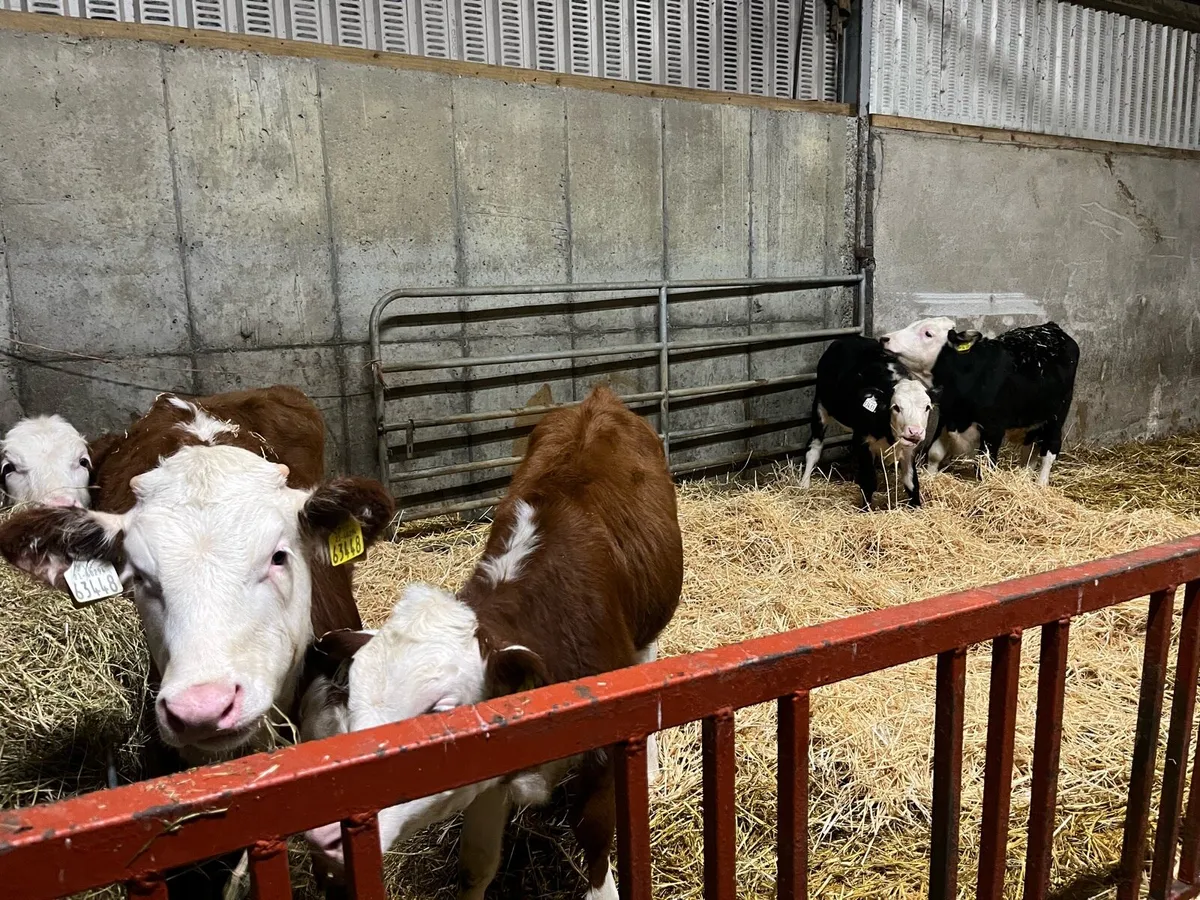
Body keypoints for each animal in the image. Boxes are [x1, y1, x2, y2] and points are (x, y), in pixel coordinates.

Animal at [302, 385, 683, 900]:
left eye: (441, 711)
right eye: (351, 706)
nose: (329, 836)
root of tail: (599, 398)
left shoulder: (602, 749)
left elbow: (594, 833)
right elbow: (476, 862)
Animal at [800, 335, 934, 509]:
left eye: (927, 407)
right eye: (896, 407)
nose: (915, 432)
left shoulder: (909, 448)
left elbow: (911, 481)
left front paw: (916, 507)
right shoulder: (862, 440)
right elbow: (869, 480)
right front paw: (865, 509)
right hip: (820, 406)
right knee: (814, 448)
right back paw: (804, 484)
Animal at [880, 320, 1080, 485]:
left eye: (928, 333)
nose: (885, 338)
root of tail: (1052, 327)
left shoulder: (994, 429)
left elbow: (985, 464)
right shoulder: (946, 417)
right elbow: (935, 453)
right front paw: (930, 478)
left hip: (1057, 416)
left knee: (1049, 450)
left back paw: (1040, 484)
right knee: (1029, 449)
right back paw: (1024, 476)